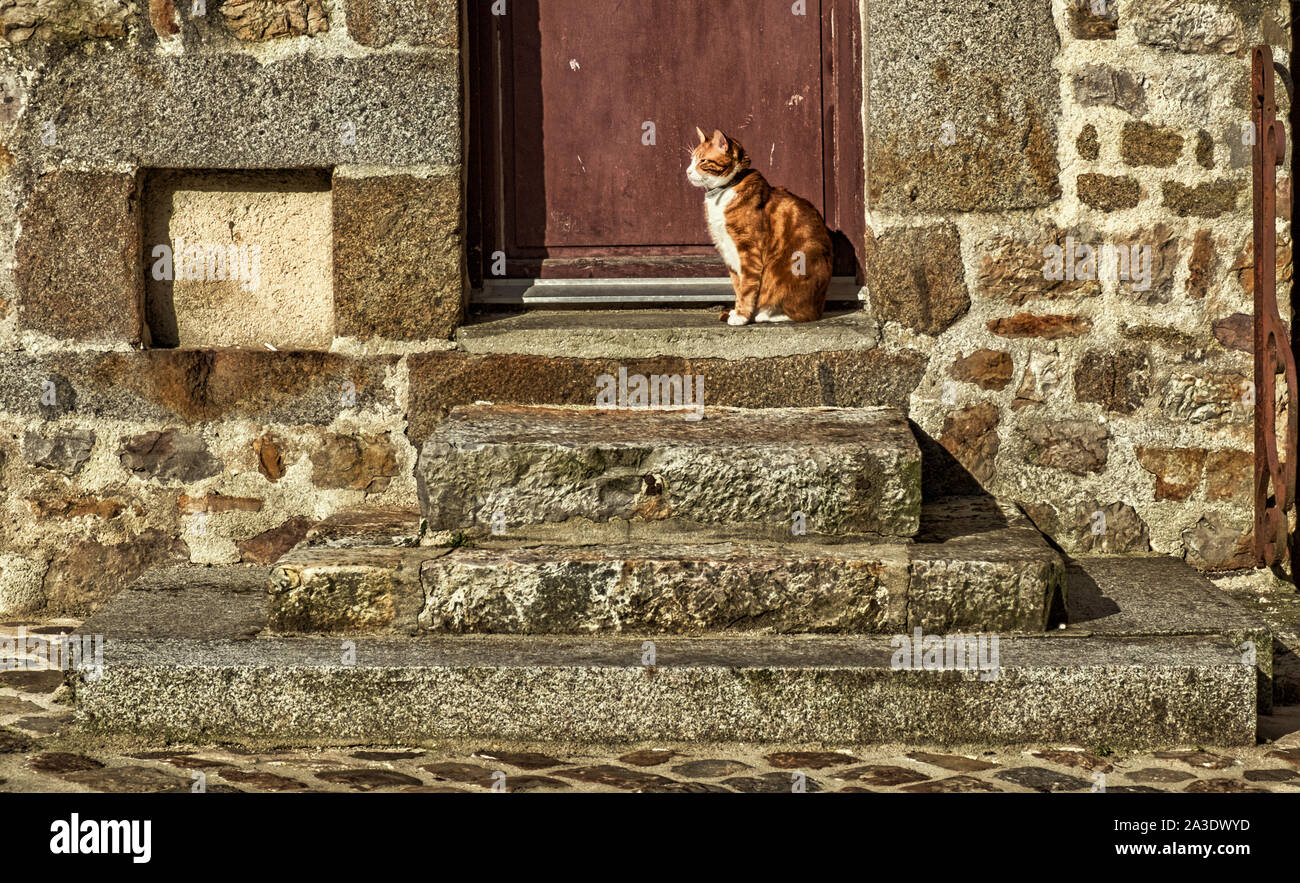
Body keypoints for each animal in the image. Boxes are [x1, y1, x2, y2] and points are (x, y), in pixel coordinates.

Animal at [691, 128, 832, 325]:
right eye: (691, 159)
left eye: (702, 161)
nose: (687, 171)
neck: (727, 189)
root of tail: (821, 304)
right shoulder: (728, 251)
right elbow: (738, 286)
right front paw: (737, 311)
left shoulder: (748, 250)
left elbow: (747, 288)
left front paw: (741, 316)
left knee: (801, 314)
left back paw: (763, 314)